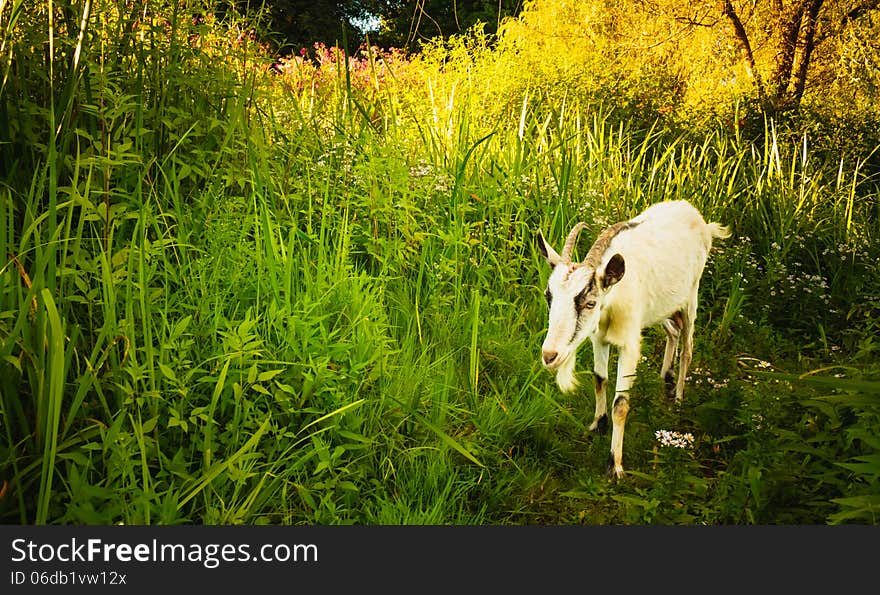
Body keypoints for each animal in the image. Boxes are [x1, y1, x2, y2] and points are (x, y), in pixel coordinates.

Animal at [536, 200, 728, 480]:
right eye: (548, 296)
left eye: (590, 303)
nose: (550, 355)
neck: (613, 298)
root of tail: (695, 215)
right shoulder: (598, 338)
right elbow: (599, 380)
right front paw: (597, 425)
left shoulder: (629, 345)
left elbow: (621, 404)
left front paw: (615, 466)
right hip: (661, 307)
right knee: (673, 331)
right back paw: (665, 376)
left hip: (690, 297)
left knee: (688, 347)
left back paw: (678, 399)